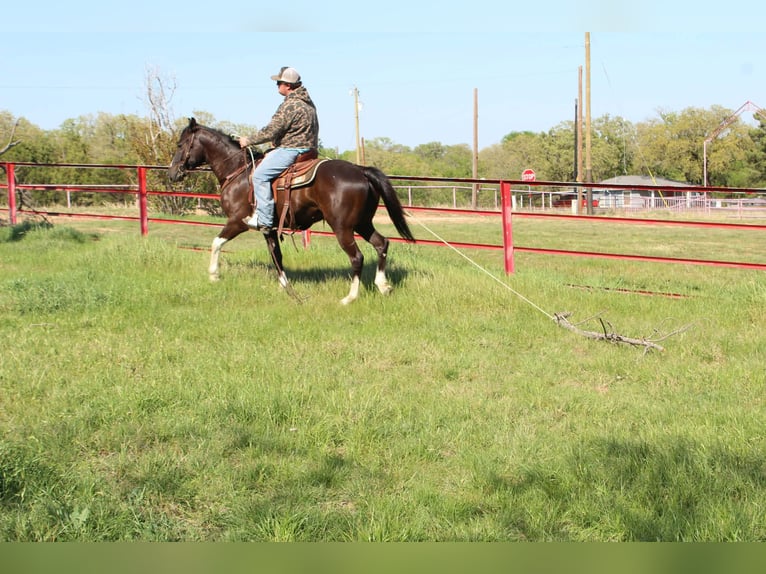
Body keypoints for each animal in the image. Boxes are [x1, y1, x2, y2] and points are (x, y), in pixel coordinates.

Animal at [168, 118, 415, 304]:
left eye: (180, 144)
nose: (172, 173)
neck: (238, 171)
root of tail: (361, 171)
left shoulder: (238, 221)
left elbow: (216, 243)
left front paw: (214, 275)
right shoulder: (268, 229)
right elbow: (276, 255)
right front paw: (284, 286)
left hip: (343, 227)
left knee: (357, 257)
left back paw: (350, 297)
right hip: (363, 223)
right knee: (381, 244)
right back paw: (383, 286)